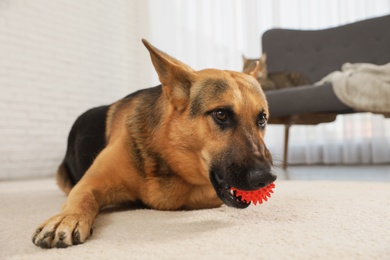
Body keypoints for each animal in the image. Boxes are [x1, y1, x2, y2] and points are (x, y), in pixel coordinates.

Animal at [32, 40, 276, 248]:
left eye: (262, 119)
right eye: (221, 114)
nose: (267, 177)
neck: (167, 153)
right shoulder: (88, 183)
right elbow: (83, 198)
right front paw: (68, 217)